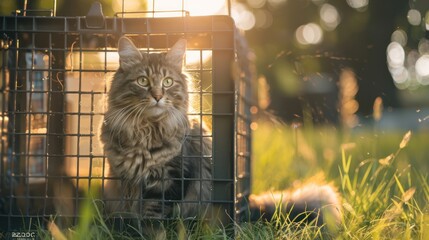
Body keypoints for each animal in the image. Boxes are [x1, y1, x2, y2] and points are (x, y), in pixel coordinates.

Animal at [102, 36, 212, 222]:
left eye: (167, 82)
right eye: (142, 81)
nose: (158, 96)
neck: (147, 131)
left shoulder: (171, 178)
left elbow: (153, 215)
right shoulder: (125, 181)